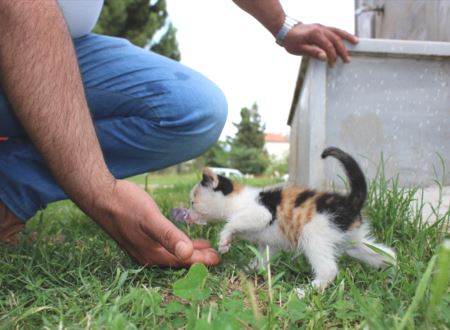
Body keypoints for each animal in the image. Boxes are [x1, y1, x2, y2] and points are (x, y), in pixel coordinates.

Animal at [188, 147, 396, 288]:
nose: (187, 214)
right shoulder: (269, 243)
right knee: (386, 254)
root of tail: (351, 202)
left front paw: (225, 239)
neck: (237, 200)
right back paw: (391, 271)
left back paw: (308, 290)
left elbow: (236, 222)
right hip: (352, 241)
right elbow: (262, 258)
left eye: (192, 201)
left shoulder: (262, 212)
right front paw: (250, 269)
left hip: (314, 233)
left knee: (329, 269)